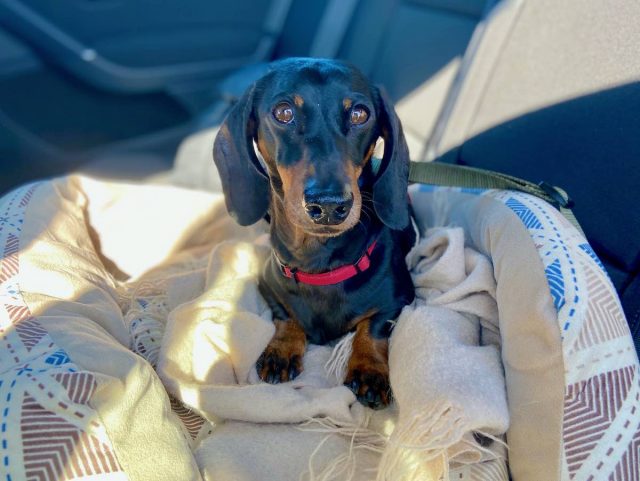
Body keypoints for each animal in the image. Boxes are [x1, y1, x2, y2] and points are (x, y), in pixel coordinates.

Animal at [215, 57, 416, 408]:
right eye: (284, 112)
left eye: (360, 114)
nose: (329, 205)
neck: (318, 261)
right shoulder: (267, 284)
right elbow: (285, 314)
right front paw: (282, 350)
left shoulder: (401, 297)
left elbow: (373, 327)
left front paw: (370, 368)